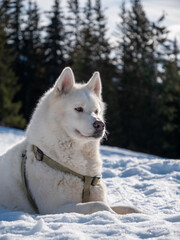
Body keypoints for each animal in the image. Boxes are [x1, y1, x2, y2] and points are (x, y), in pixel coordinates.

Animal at [0, 66, 141, 215]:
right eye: (78, 108)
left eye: (96, 111)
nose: (100, 125)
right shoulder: (54, 208)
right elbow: (100, 206)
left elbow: (129, 207)